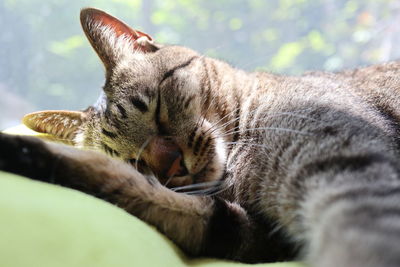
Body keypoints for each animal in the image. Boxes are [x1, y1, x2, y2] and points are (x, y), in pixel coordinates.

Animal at [0, 7, 400, 266]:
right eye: (134, 159)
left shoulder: (350, 164)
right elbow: (146, 194)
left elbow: (361, 235)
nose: (171, 164)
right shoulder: (254, 235)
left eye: (157, 109)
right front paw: (27, 153)